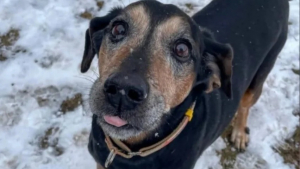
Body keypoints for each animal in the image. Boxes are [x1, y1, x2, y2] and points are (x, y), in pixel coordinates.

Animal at [81, 0, 290, 168]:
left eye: (182, 49)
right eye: (118, 29)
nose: (122, 91)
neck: (133, 151)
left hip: (260, 76)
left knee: (245, 106)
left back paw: (239, 134)